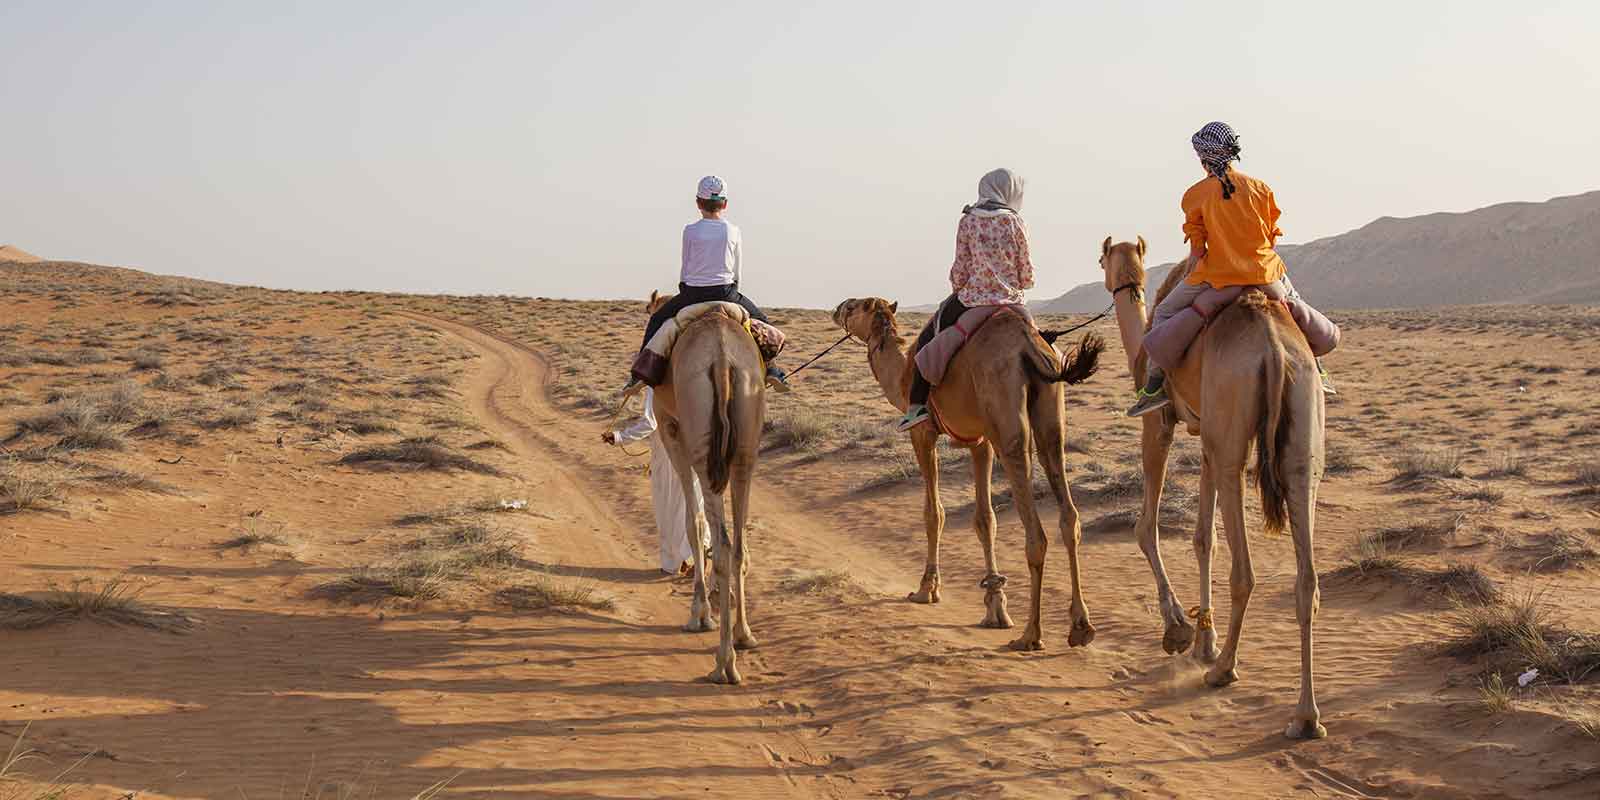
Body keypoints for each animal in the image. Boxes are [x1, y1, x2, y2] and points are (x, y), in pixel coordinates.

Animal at [645, 291, 767, 684]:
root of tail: (723, 356)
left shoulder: (672, 430)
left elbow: (693, 522)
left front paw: (698, 613)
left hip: (700, 437)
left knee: (723, 542)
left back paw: (723, 663)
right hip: (746, 445)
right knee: (738, 544)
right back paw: (743, 637)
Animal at [831, 298, 1104, 650]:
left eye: (853, 307)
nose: (836, 309)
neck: (902, 374)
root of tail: (1028, 345)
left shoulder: (923, 434)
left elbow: (934, 513)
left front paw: (926, 589)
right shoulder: (980, 441)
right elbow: (985, 519)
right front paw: (995, 605)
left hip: (1006, 420)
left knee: (1036, 531)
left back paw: (1031, 635)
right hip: (1049, 413)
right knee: (1067, 511)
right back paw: (1081, 626)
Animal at [1100, 237, 1327, 739]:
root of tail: (1273, 350)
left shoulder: (1161, 424)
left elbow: (1148, 528)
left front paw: (1181, 631)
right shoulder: (1205, 435)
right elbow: (1205, 540)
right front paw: (1204, 637)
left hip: (1229, 426)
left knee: (1245, 569)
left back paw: (1224, 670)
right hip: (1299, 430)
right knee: (1306, 574)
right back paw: (1305, 716)